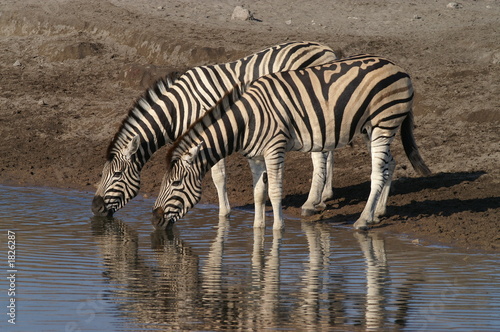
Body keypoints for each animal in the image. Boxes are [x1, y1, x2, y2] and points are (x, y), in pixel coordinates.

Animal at [92, 41, 338, 219]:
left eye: (116, 174)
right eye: (102, 173)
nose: (94, 208)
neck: (179, 109)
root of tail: (325, 49)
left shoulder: (208, 133)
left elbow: (218, 176)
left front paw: (223, 214)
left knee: (320, 155)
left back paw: (310, 202)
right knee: (328, 150)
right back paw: (324, 195)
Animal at [151, 54, 430, 231]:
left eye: (175, 184)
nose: (154, 219)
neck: (247, 121)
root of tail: (397, 66)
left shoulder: (275, 149)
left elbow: (274, 191)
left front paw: (278, 229)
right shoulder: (255, 156)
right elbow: (258, 192)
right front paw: (257, 228)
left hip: (385, 122)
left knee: (377, 172)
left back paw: (362, 220)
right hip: (370, 128)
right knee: (389, 164)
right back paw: (377, 214)